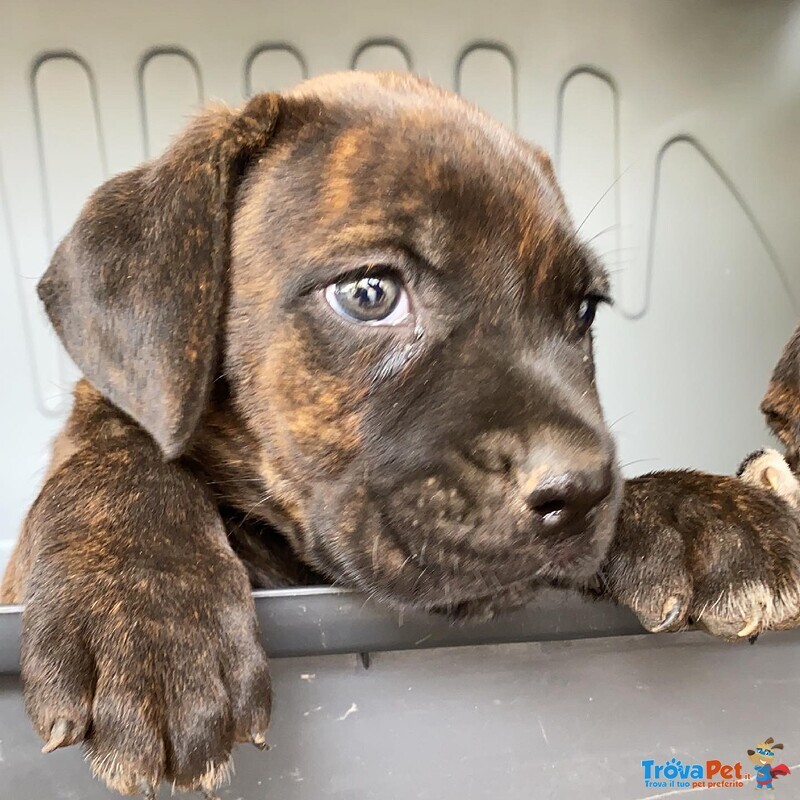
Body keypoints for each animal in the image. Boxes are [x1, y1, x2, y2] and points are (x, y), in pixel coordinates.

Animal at [0, 73, 796, 792]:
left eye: (583, 312)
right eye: (369, 294)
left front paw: (706, 511)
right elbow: (117, 443)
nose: (581, 490)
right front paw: (149, 610)